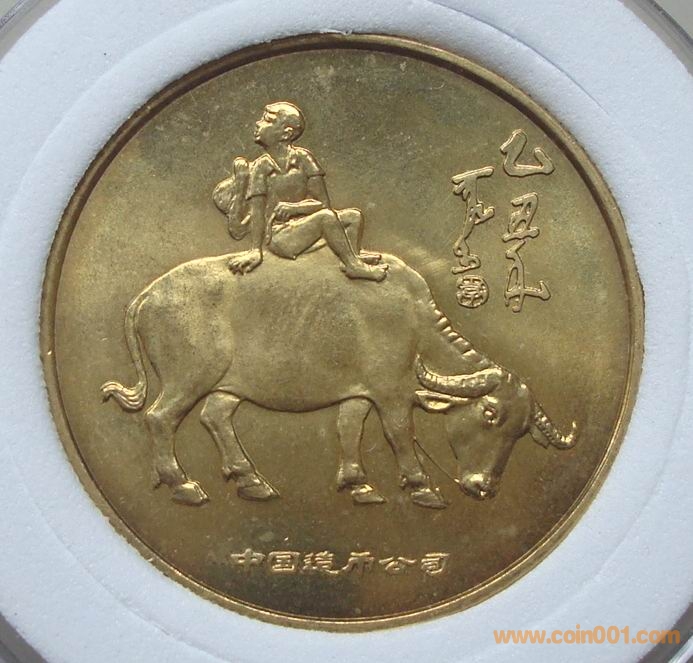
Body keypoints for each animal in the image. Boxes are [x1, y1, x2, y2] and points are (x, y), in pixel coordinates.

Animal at [101, 250, 577, 510]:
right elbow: (399, 434)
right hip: (190, 379)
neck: (411, 320)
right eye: (489, 415)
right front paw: (422, 487)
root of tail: (147, 296)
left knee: (215, 418)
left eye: (522, 433)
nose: (483, 488)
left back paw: (250, 480)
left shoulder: (359, 395)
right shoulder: (391, 393)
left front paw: (358, 484)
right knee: (160, 419)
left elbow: (348, 429)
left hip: (228, 386)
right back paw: (182, 484)